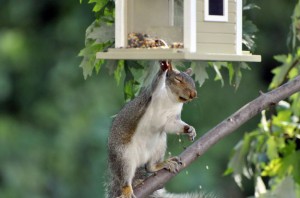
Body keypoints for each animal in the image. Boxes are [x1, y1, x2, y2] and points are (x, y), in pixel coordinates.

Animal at [108, 61, 211, 197]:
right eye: (178, 79)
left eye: (193, 82)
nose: (193, 94)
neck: (171, 99)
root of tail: (140, 160)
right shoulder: (153, 93)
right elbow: (156, 81)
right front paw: (164, 68)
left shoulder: (170, 119)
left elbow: (171, 125)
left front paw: (190, 129)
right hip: (124, 157)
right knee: (124, 176)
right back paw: (126, 190)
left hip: (159, 145)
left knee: (149, 167)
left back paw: (161, 164)